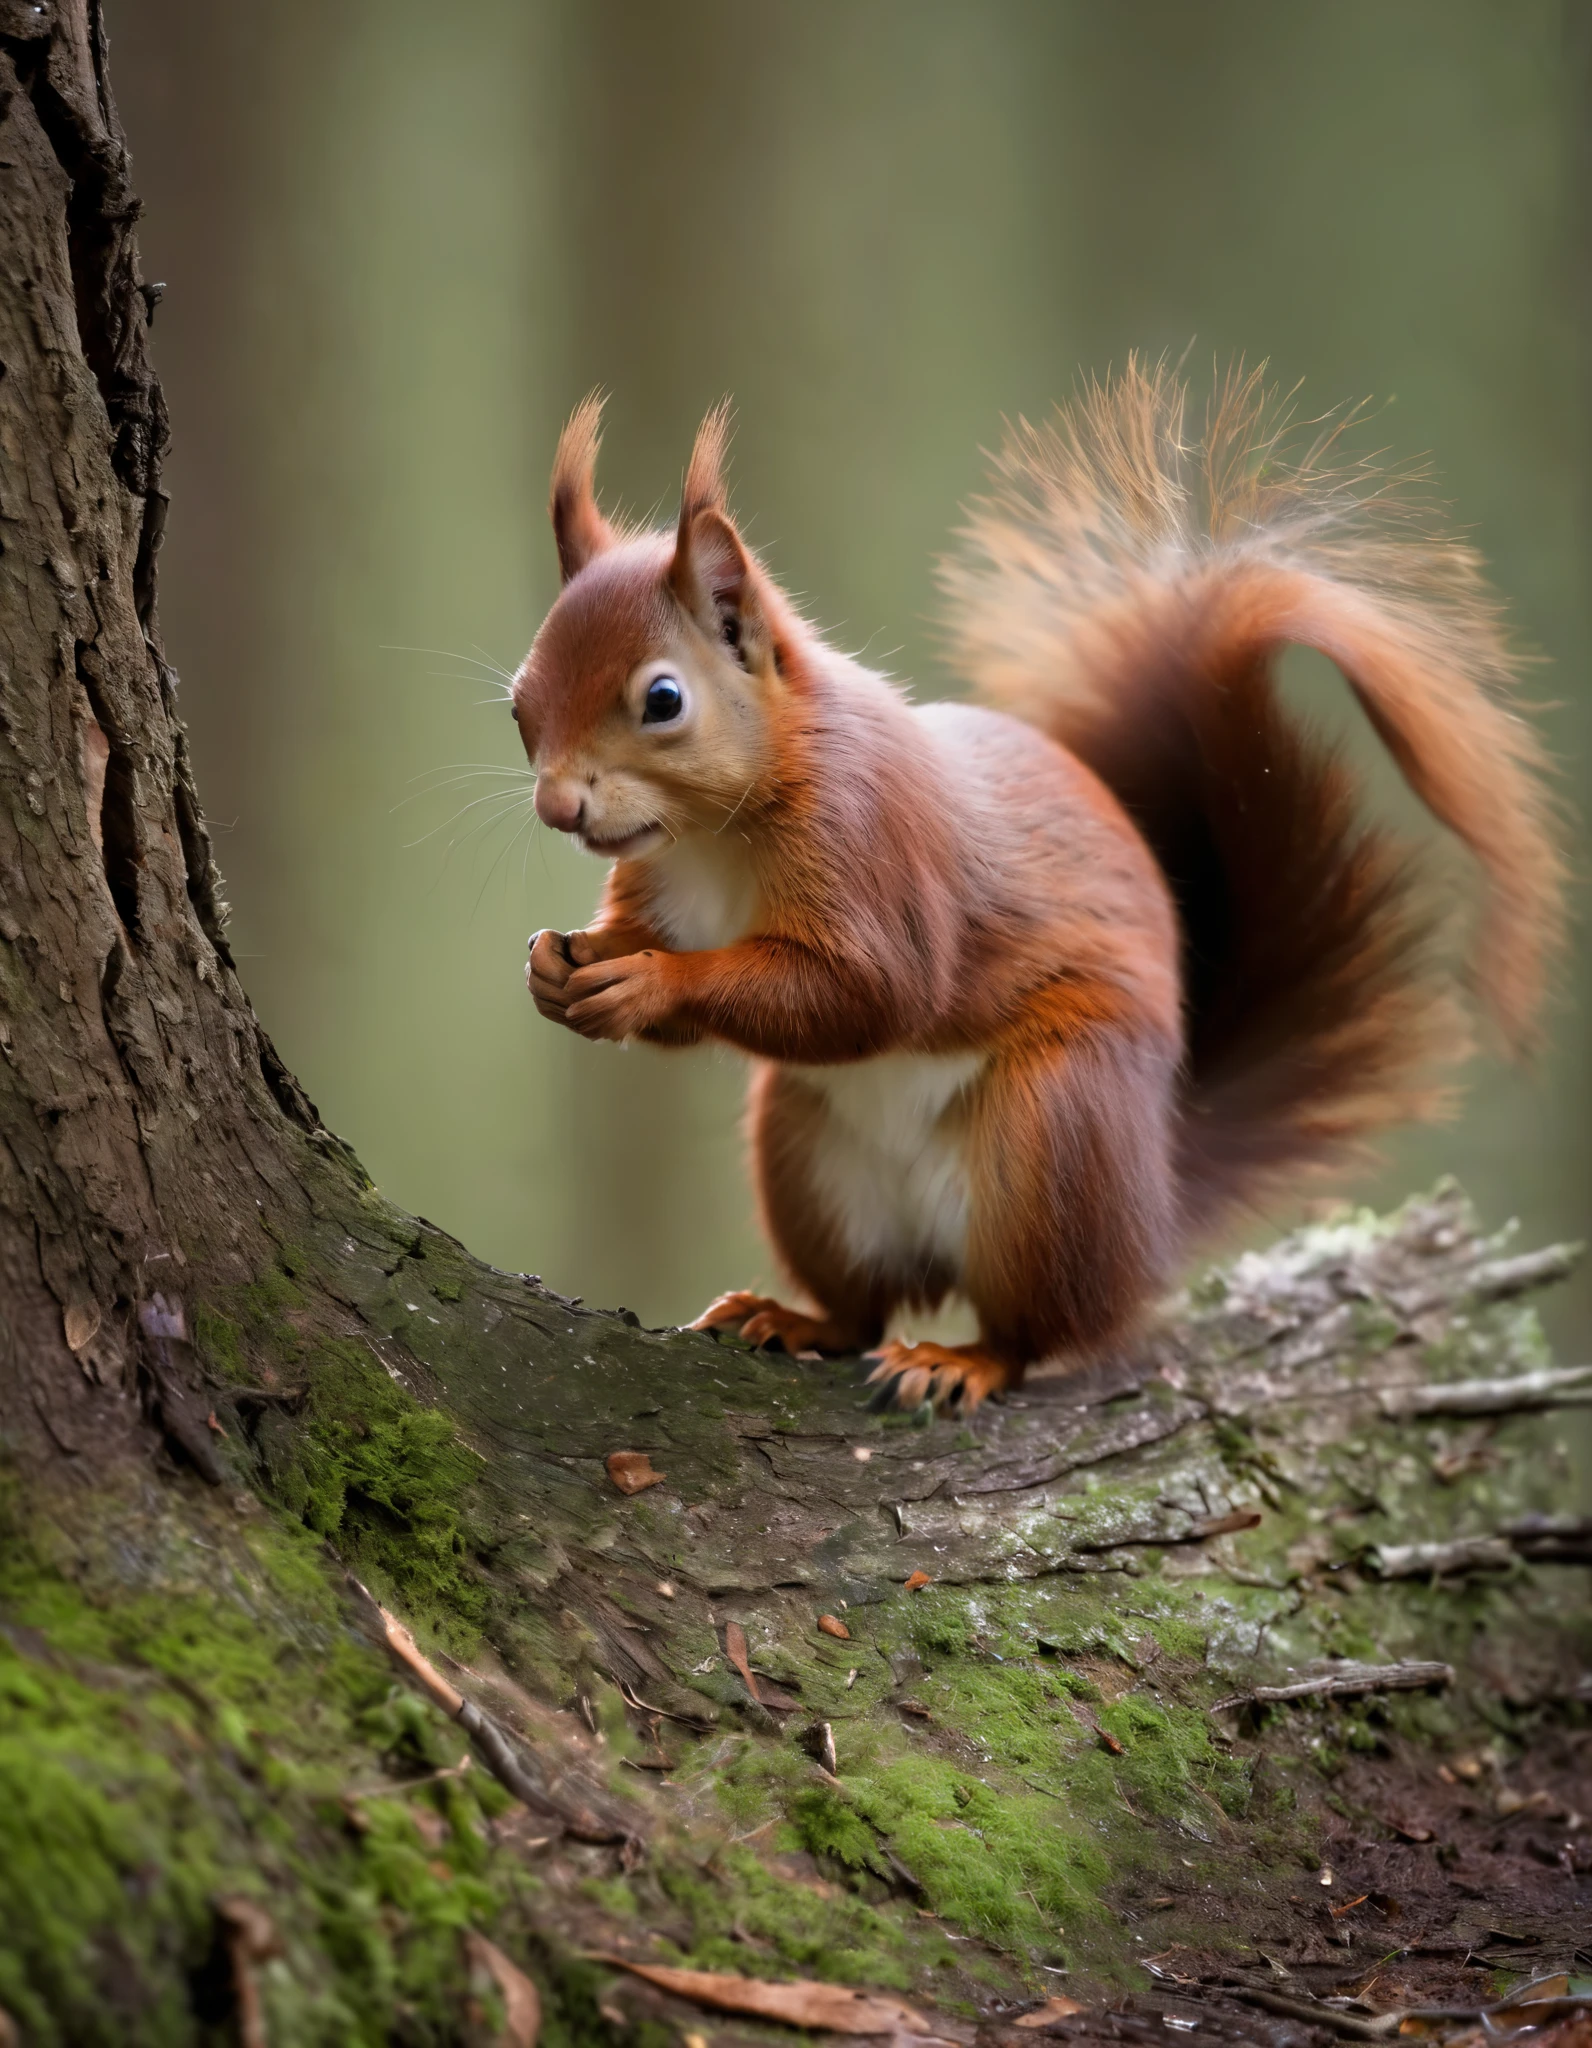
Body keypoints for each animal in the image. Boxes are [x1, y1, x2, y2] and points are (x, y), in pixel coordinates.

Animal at [516, 364, 1557, 1409]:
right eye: (521, 705)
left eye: (663, 700)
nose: (559, 808)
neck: (713, 837)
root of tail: (1149, 1215)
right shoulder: (664, 885)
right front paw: (562, 965)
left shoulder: (872, 850)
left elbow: (871, 992)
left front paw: (647, 983)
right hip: (807, 1156)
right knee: (862, 1313)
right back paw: (797, 1318)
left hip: (1052, 1138)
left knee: (1034, 1330)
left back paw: (960, 1359)